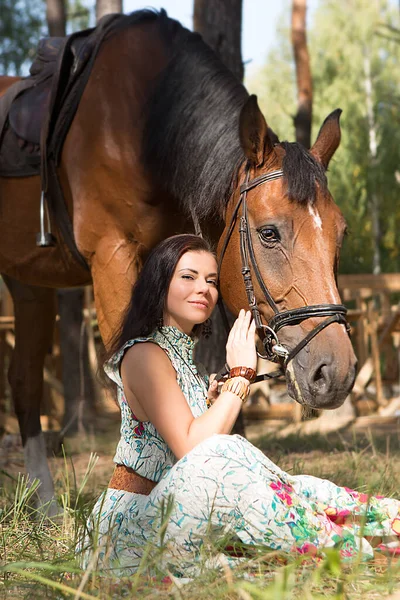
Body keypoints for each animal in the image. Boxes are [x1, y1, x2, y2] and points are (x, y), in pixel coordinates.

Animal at [0, 11, 356, 512]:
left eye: (340, 235)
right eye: (269, 233)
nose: (336, 373)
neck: (144, 120)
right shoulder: (112, 259)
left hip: (29, 283)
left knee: (25, 380)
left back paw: (47, 506)